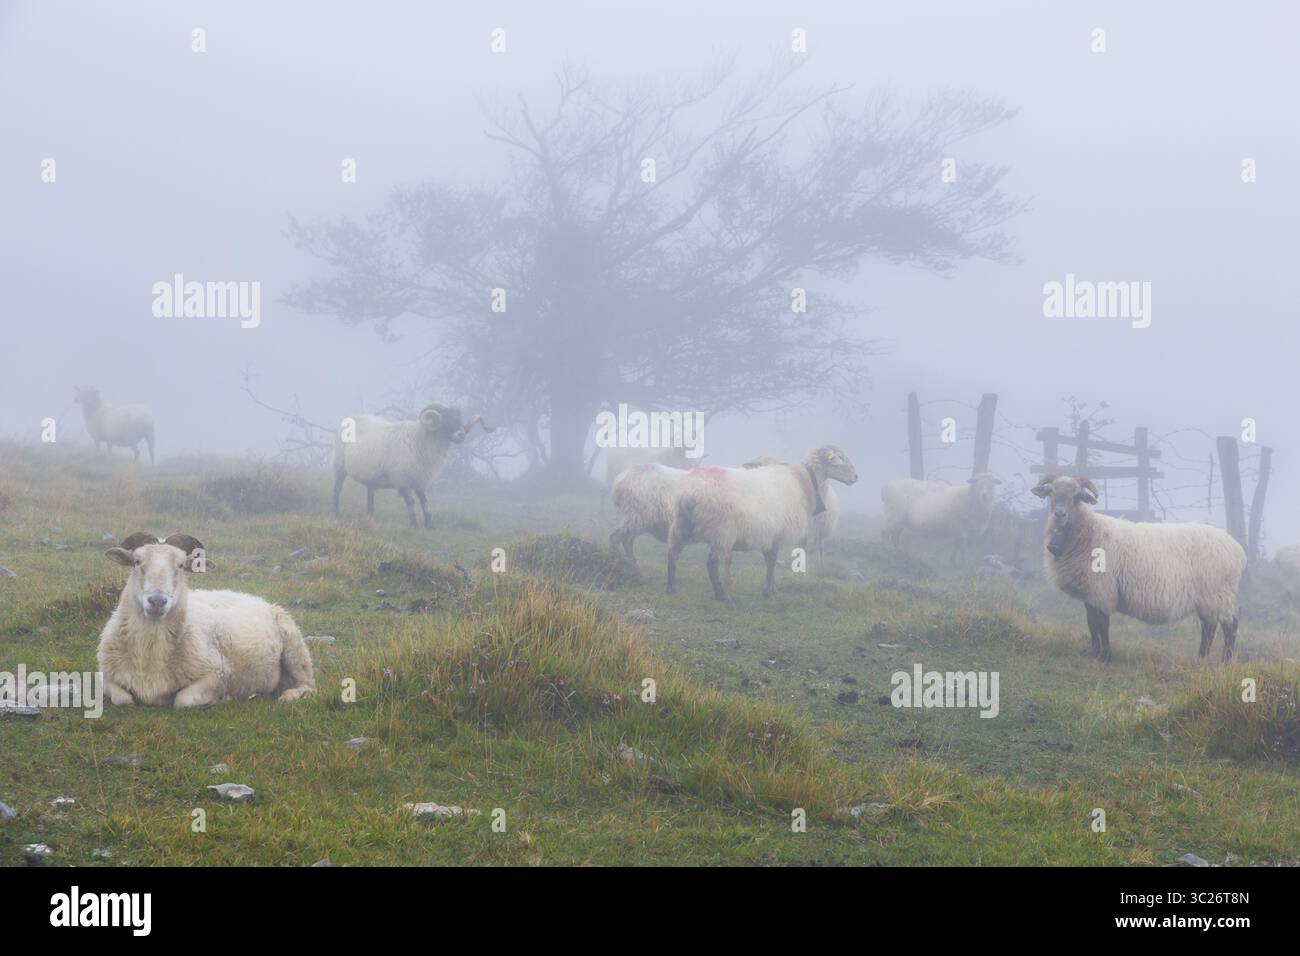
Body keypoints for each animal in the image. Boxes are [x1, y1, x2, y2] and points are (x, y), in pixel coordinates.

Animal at [96, 532, 315, 708]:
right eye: (137, 562)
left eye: (181, 565)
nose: (157, 601)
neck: (150, 655)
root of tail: (260, 599)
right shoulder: (107, 676)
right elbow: (123, 699)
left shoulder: (216, 675)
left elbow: (182, 700)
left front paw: (223, 698)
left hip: (295, 646)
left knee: (309, 685)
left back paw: (288, 695)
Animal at [333, 404, 490, 528]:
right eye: (446, 419)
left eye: (459, 420)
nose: (461, 435)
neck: (419, 439)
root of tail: (351, 418)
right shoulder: (402, 480)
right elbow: (411, 501)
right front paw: (414, 524)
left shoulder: (420, 480)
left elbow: (425, 502)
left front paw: (430, 525)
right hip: (340, 466)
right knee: (337, 489)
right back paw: (336, 512)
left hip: (371, 475)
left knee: (370, 493)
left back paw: (370, 515)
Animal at [666, 445, 858, 602]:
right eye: (840, 459)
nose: (856, 477)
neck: (802, 481)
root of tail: (692, 493)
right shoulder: (778, 531)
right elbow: (772, 560)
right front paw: (769, 591)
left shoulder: (771, 532)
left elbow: (769, 559)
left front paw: (772, 588)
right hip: (722, 531)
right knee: (712, 563)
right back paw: (722, 595)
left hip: (681, 524)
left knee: (672, 554)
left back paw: (671, 589)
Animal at [1032, 474, 1246, 662]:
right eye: (1051, 492)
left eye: (1077, 496)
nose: (1060, 513)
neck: (1089, 530)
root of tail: (1237, 549)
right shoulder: (1091, 592)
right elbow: (1091, 622)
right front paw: (1094, 652)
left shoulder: (1103, 589)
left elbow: (1102, 624)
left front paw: (1105, 656)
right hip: (1208, 597)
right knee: (1209, 627)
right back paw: (1200, 659)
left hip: (1217, 594)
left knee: (1229, 625)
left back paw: (1225, 662)